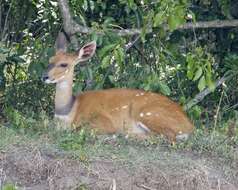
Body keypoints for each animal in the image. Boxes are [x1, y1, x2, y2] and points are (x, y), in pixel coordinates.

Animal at [41, 33, 193, 141]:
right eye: (50, 60)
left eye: (64, 64)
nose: (44, 76)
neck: (69, 111)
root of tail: (189, 126)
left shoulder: (102, 120)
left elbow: (79, 130)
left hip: (148, 113)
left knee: (167, 136)